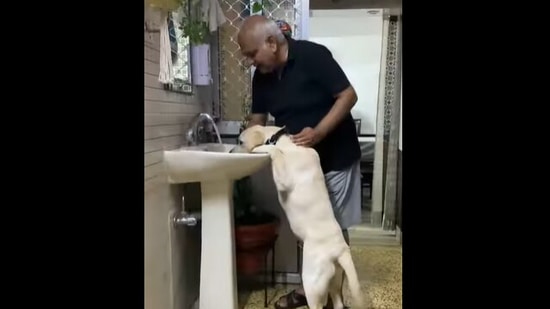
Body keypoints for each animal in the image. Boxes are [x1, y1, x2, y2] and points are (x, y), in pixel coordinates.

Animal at [240, 124, 362, 306]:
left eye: (239, 141)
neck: (286, 143)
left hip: (312, 284)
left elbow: (273, 150)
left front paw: (261, 148)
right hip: (334, 282)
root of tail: (340, 250)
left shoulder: (283, 179)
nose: (230, 151)